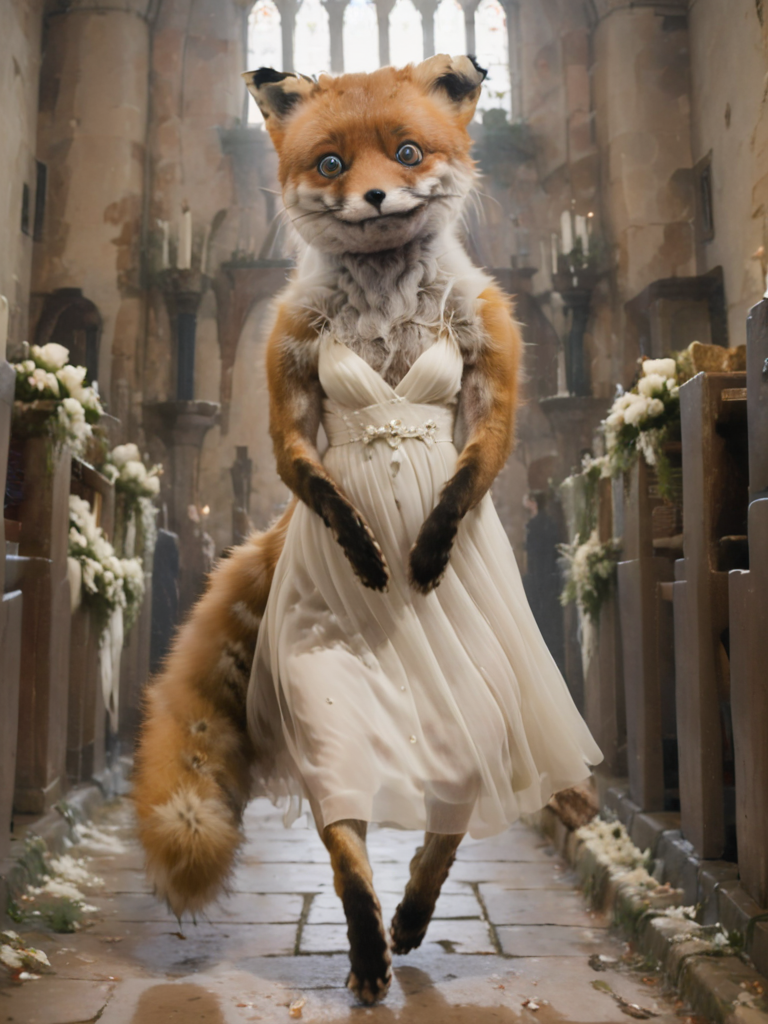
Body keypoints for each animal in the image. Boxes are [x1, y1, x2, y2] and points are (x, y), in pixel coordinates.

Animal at [133, 54, 522, 1004]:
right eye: (332, 164)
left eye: (409, 152)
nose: (377, 198)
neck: (382, 303)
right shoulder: (285, 371)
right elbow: (312, 476)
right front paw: (368, 552)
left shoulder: (492, 362)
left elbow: (469, 470)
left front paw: (425, 546)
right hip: (323, 707)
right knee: (349, 831)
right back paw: (372, 947)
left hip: (477, 722)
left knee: (449, 818)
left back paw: (413, 917)